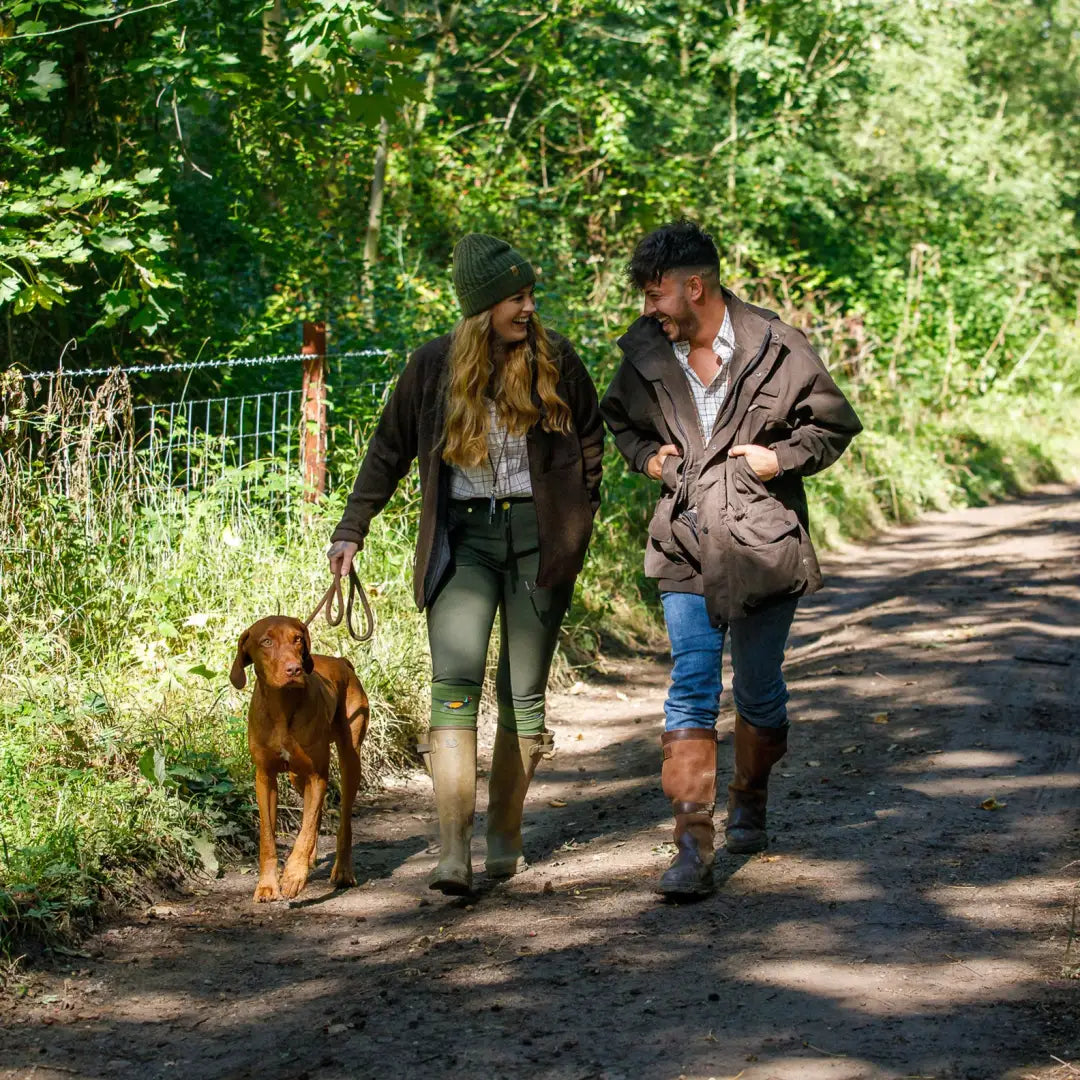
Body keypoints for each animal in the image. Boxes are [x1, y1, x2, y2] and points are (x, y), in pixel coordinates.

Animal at [230, 617, 369, 902]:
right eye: (266, 641)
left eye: (297, 639)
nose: (294, 669)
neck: (282, 707)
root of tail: (341, 661)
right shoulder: (265, 778)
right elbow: (268, 837)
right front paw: (267, 884)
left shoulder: (318, 775)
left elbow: (306, 830)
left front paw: (294, 874)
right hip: (296, 776)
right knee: (312, 811)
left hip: (351, 759)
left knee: (343, 820)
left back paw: (342, 870)